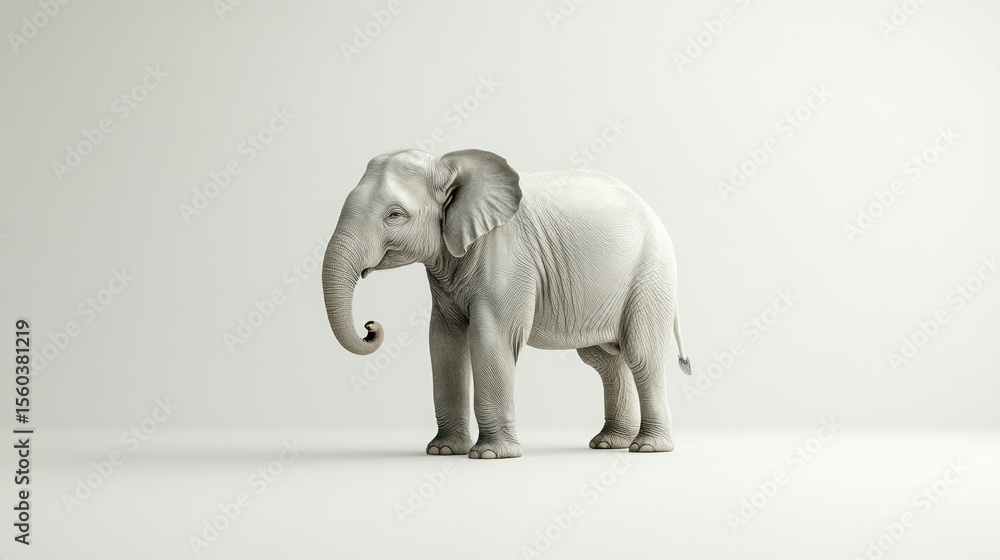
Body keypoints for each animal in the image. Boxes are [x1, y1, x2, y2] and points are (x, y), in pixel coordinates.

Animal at [322, 148, 693, 459]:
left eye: (395, 215)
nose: (370, 326)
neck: (448, 164)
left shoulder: (507, 255)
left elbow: (492, 338)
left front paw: (490, 455)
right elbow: (443, 341)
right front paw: (444, 451)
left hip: (650, 275)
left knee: (641, 354)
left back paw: (647, 448)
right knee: (605, 360)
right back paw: (608, 443)